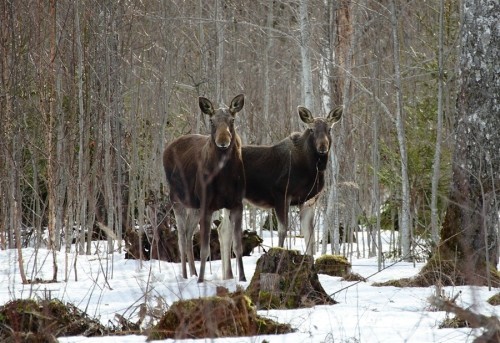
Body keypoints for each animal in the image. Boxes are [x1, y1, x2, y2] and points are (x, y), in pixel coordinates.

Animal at [163, 93, 247, 282]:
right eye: (211, 121)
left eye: (232, 120)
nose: (223, 141)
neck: (224, 177)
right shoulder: (207, 205)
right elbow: (204, 249)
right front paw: (201, 281)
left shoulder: (237, 204)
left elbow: (237, 246)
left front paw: (243, 278)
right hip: (176, 199)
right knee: (181, 238)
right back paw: (186, 276)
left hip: (194, 206)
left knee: (188, 235)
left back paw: (193, 273)